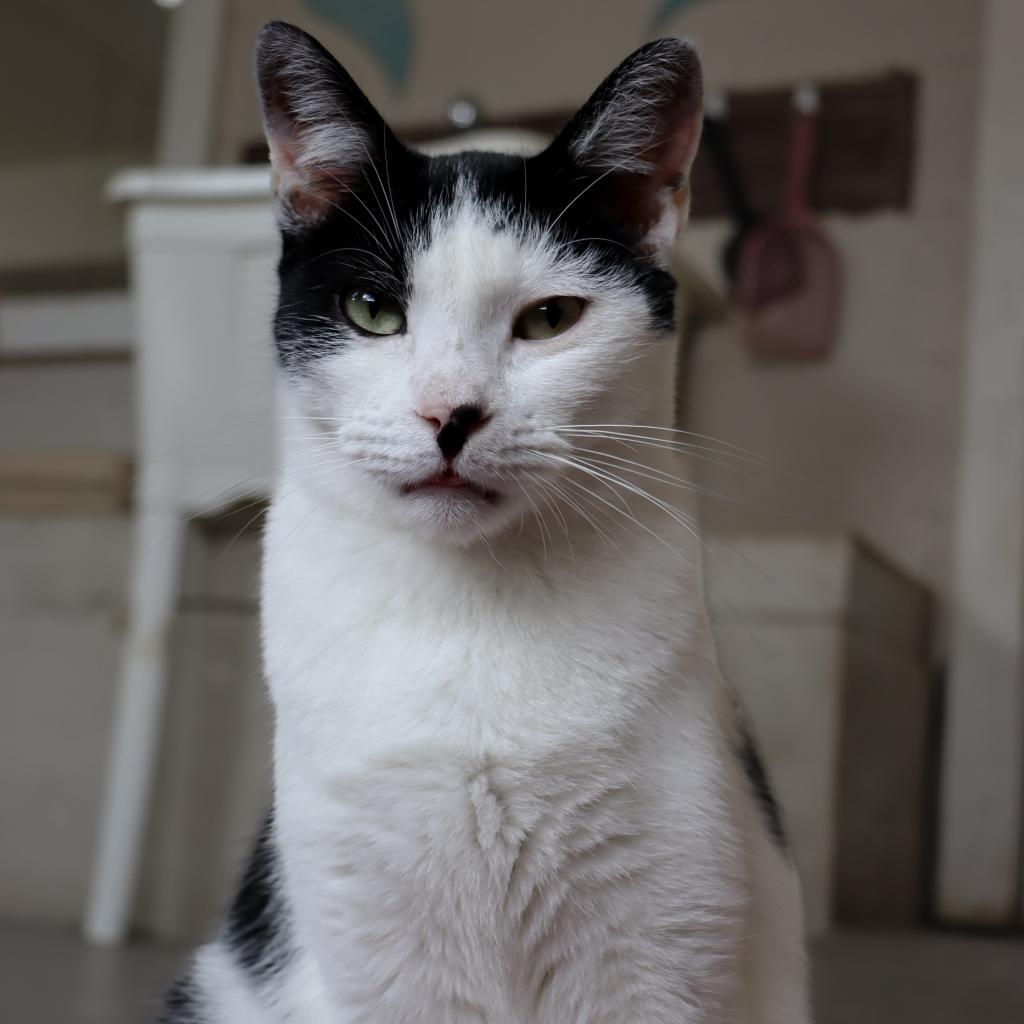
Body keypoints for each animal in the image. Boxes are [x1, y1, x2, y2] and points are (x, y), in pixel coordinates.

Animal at [153, 18, 806, 1024]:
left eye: (550, 318)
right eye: (372, 310)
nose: (449, 413)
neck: (475, 609)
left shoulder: (655, 951)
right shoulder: (382, 953)